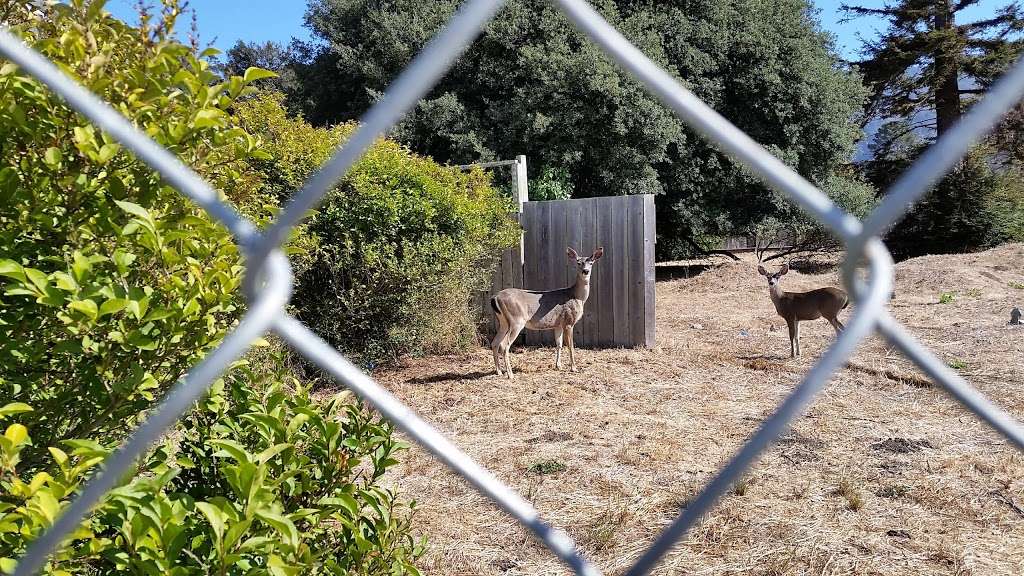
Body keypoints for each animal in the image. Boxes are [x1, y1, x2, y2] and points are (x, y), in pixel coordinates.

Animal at [491, 245, 602, 377]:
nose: (585, 271)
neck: (577, 297)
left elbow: (559, 344)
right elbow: (570, 346)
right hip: (516, 320)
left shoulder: (558, 324)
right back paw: (510, 374)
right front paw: (574, 368)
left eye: (591, 262)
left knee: (495, 342)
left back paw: (499, 371)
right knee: (504, 345)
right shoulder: (569, 321)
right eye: (578, 262)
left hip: (503, 322)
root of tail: (495, 297)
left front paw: (558, 365)